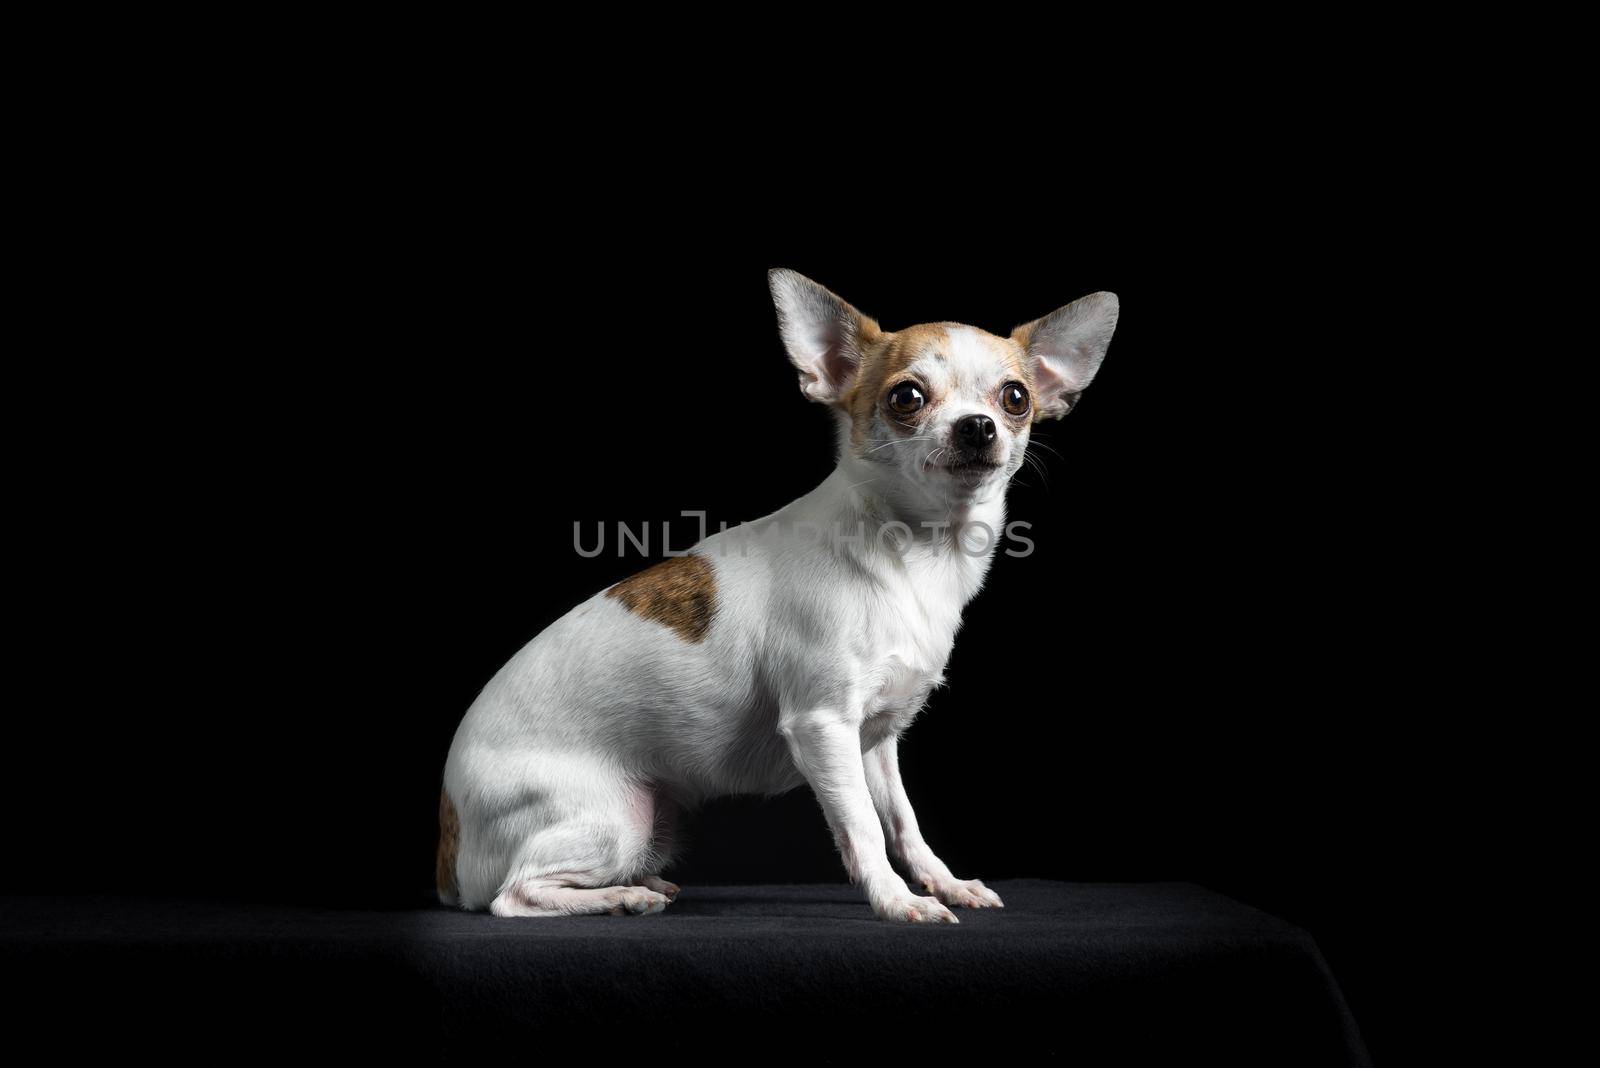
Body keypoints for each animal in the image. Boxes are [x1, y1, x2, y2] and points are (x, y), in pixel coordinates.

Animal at [432, 271, 1120, 920]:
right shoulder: (823, 727)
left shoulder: (872, 742)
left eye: (1015, 398)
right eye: (907, 396)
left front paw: (943, 883)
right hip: (613, 818)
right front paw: (896, 902)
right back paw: (623, 897)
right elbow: (864, 829)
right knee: (512, 895)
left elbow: (903, 822)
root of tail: (449, 841)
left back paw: (642, 885)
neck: (916, 554)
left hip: (651, 821)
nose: (978, 427)